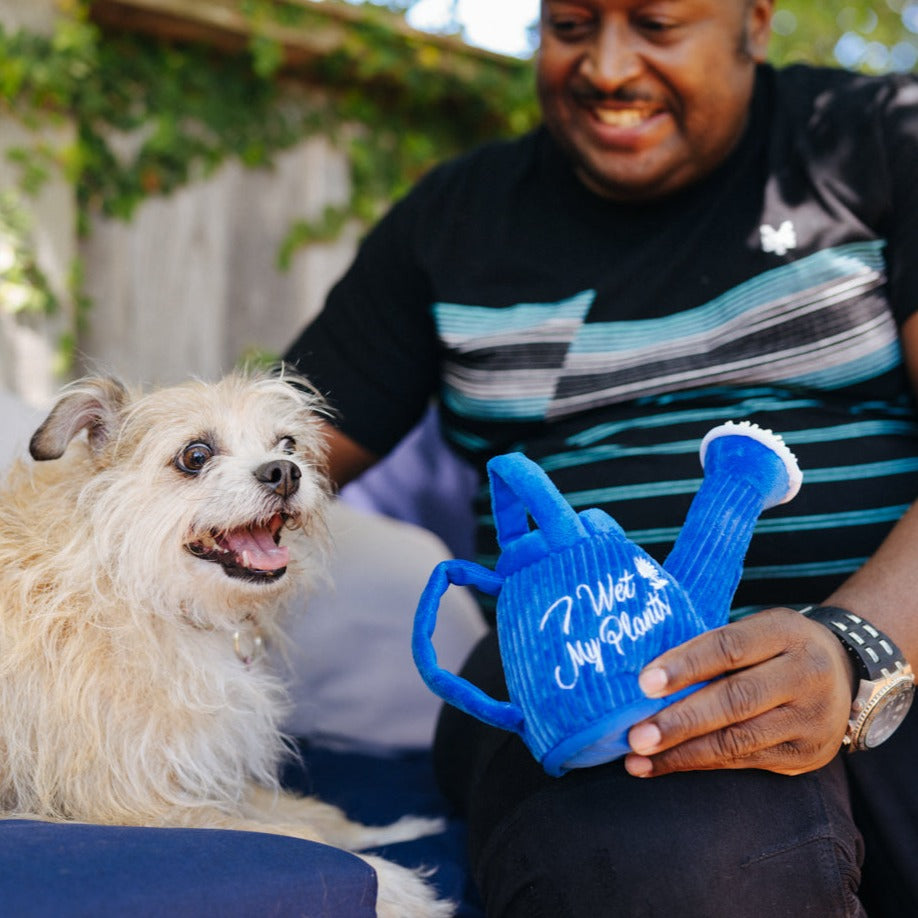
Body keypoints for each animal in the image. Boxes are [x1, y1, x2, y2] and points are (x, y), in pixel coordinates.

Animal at [0, 374, 452, 918]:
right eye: (195, 455)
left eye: (288, 444)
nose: (285, 472)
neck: (134, 587)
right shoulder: (126, 802)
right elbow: (300, 838)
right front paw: (397, 884)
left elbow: (313, 816)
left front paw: (398, 829)